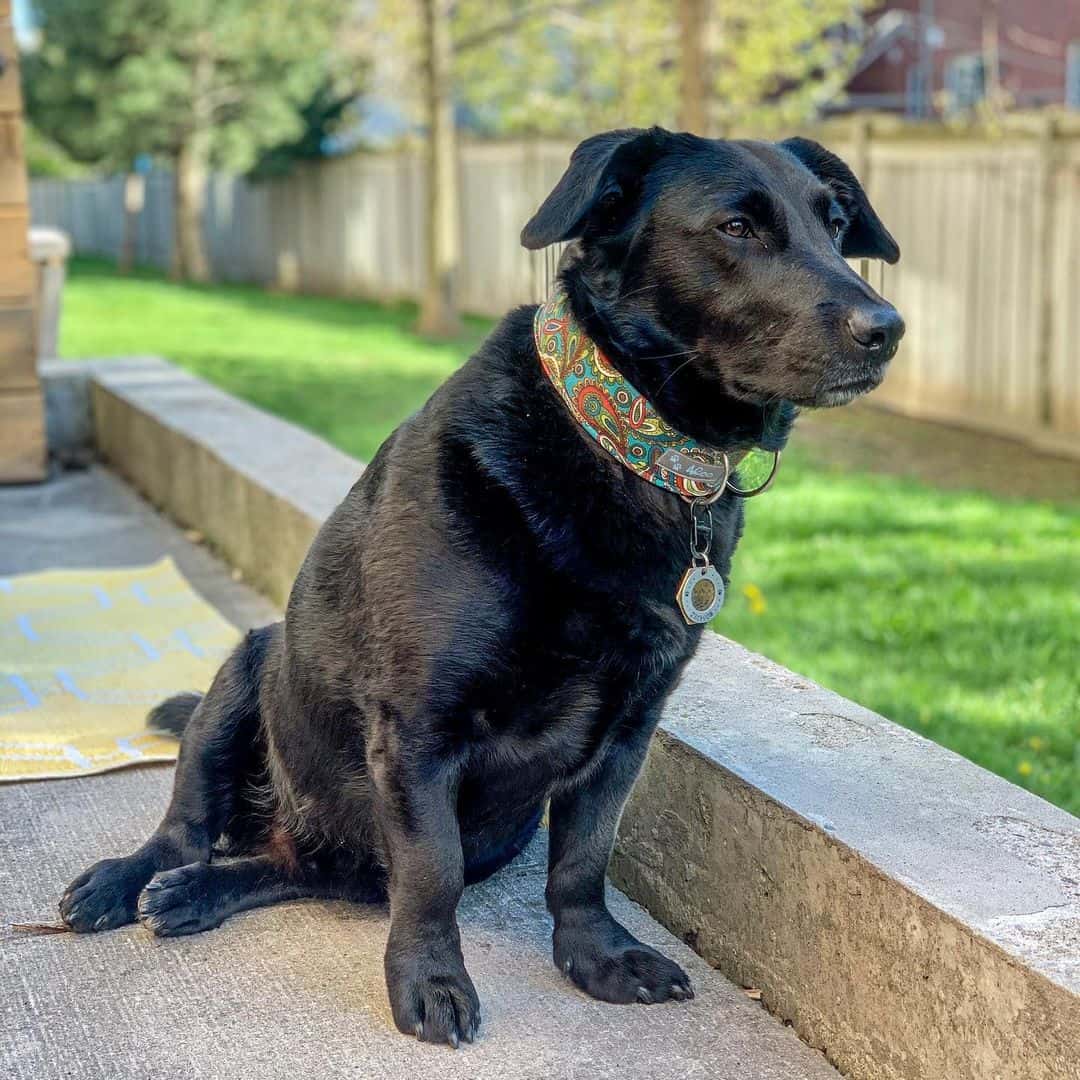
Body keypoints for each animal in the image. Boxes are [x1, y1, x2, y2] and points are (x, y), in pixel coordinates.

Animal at [59, 126, 902, 1045]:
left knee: (304, 868)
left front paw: (597, 955)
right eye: (736, 228)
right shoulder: (420, 730)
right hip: (241, 676)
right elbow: (431, 872)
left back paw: (202, 894)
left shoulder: (627, 733)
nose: (887, 327)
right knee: (188, 828)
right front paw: (429, 979)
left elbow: (581, 860)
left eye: (835, 223)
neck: (619, 440)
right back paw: (129, 879)